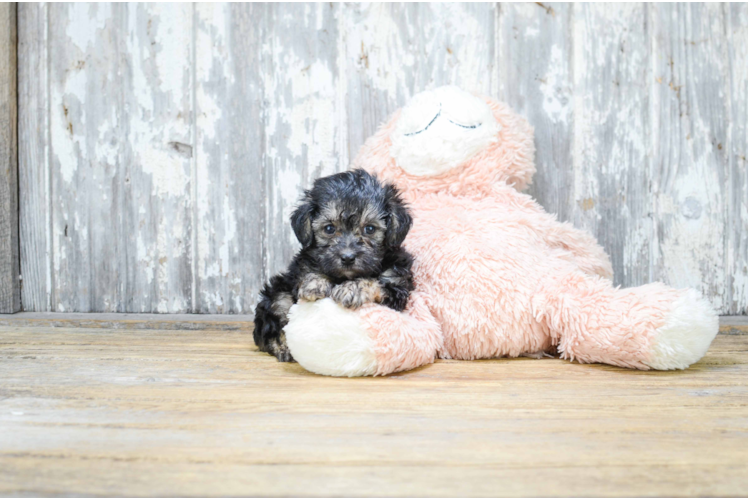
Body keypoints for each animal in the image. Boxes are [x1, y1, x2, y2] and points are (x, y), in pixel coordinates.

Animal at [253, 170, 414, 362]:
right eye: (329, 229)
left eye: (369, 229)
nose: (347, 257)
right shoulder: (301, 268)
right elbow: (309, 272)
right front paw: (315, 282)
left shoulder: (397, 287)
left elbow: (375, 282)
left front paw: (352, 289)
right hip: (278, 293)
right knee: (272, 321)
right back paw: (283, 346)